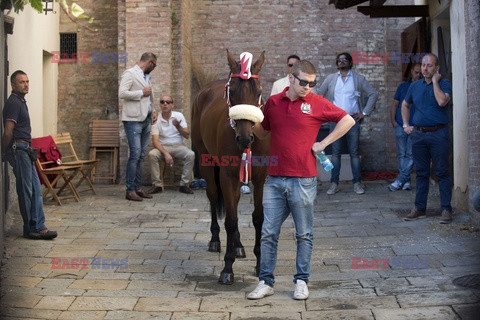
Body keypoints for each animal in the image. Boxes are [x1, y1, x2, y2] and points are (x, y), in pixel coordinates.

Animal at [190, 50, 270, 284]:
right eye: (231, 91)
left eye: (258, 91)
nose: (244, 138)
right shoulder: (227, 175)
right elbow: (231, 220)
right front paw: (227, 268)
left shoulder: (260, 177)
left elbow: (258, 217)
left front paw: (259, 264)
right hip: (207, 161)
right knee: (214, 196)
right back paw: (216, 240)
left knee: (233, 199)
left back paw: (238, 245)